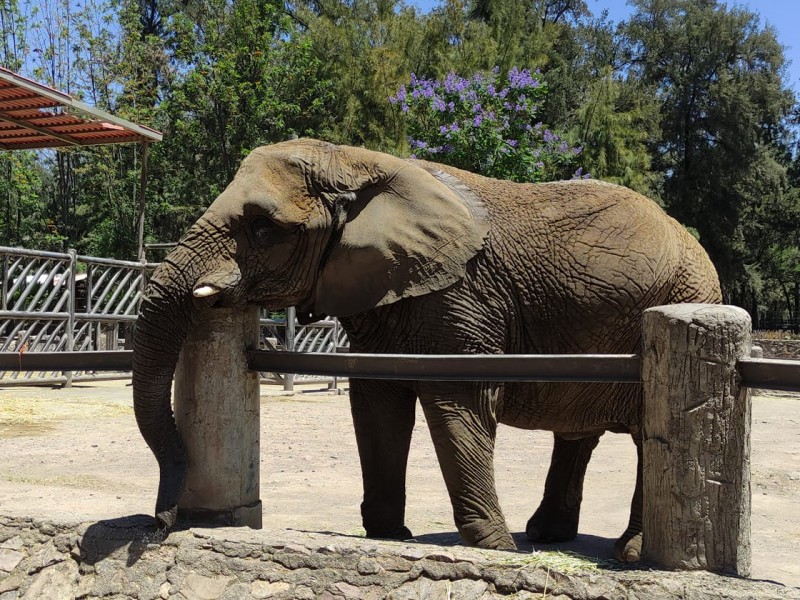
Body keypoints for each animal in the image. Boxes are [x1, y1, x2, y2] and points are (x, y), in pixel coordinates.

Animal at [130, 138, 720, 560]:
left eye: (261, 227)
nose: (161, 526)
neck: (358, 162)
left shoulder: (462, 295)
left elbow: (458, 397)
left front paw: (497, 549)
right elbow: (377, 403)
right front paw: (388, 537)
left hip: (678, 299)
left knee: (646, 433)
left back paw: (629, 553)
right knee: (578, 434)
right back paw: (547, 537)